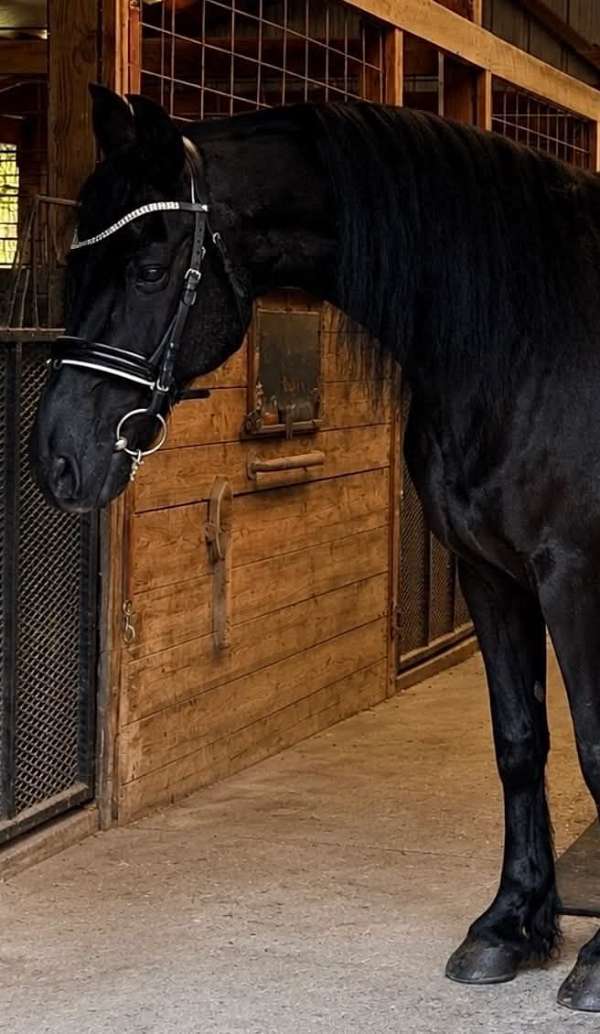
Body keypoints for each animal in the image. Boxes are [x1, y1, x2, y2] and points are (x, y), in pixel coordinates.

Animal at [30, 83, 600, 1013]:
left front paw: (597, 962)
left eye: (148, 271)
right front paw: (509, 926)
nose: (57, 459)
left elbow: (594, 747)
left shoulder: (575, 576)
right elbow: (521, 741)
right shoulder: (489, 573)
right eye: (77, 267)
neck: (536, 339)